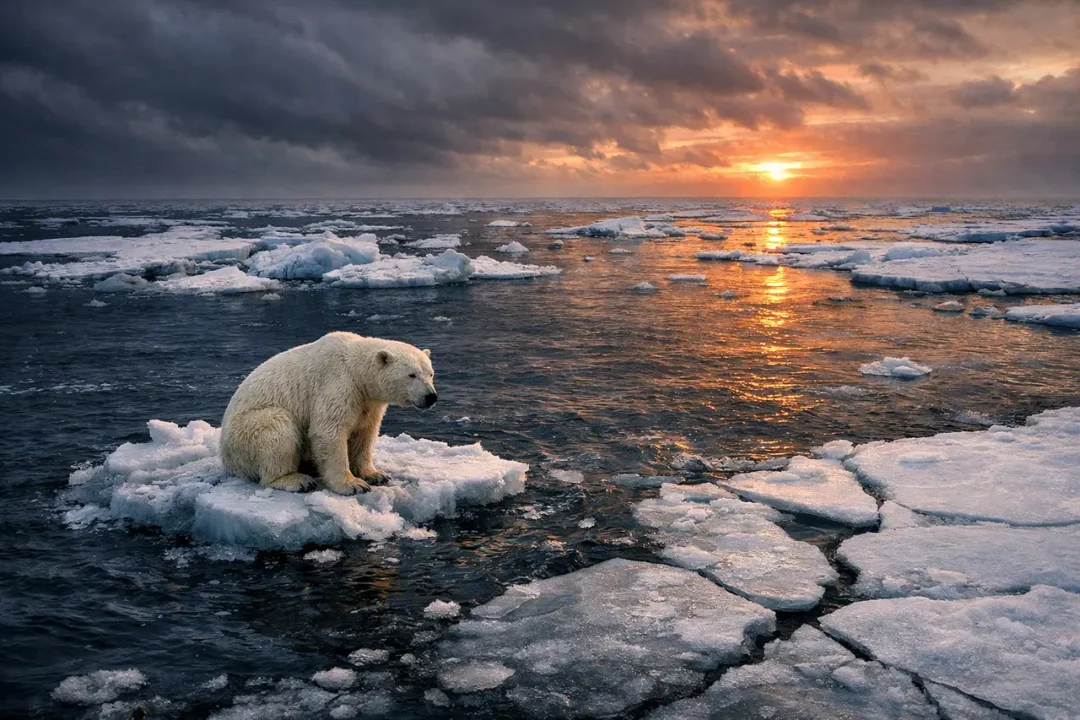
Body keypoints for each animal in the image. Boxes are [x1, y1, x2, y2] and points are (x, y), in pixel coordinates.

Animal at [219, 331, 437, 495]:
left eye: (430, 373)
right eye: (412, 375)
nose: (431, 396)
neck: (357, 372)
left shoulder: (368, 402)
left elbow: (365, 434)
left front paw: (376, 474)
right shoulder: (339, 384)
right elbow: (329, 431)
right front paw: (353, 485)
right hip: (247, 432)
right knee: (277, 428)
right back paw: (296, 480)